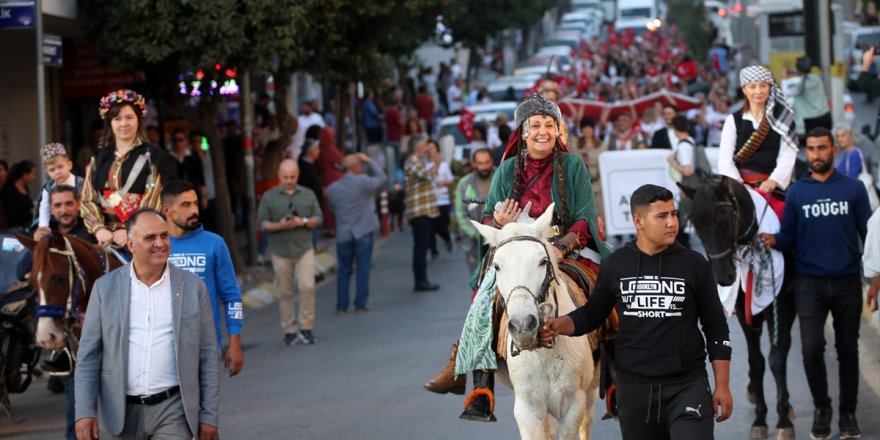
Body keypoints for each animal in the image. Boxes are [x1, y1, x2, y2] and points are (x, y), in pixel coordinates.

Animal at [474, 205, 600, 438]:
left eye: (543, 261)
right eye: (496, 266)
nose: (523, 325)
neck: (543, 353)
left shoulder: (574, 403)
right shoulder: (527, 408)